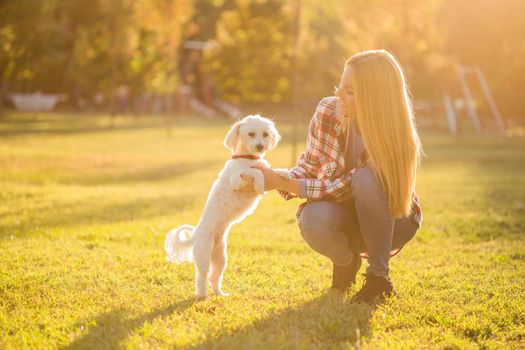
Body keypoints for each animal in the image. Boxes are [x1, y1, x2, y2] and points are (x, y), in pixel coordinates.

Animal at [165, 116, 284, 300]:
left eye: (265, 134)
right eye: (251, 134)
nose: (260, 146)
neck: (248, 158)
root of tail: (195, 234)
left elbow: (273, 171)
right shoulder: (236, 179)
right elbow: (255, 173)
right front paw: (260, 184)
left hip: (221, 258)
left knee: (215, 277)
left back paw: (219, 293)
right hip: (203, 255)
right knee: (201, 276)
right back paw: (202, 296)